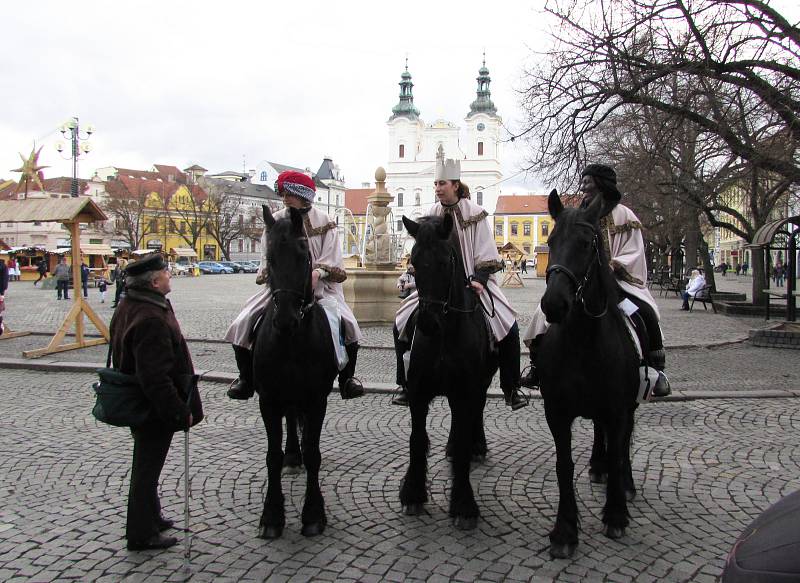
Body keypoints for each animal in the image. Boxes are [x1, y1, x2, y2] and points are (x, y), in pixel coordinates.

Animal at [252, 204, 336, 540]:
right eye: (270, 258)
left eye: (304, 256)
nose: (286, 320)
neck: (291, 342)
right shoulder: (268, 399)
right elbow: (271, 456)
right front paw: (272, 515)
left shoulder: (317, 399)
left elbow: (314, 453)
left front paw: (313, 513)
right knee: (290, 420)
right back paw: (291, 457)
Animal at [396, 213, 496, 528]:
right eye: (414, 262)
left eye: (444, 262)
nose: (428, 322)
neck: (444, 335)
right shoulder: (418, 393)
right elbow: (416, 440)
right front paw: (413, 492)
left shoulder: (465, 391)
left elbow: (464, 437)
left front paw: (464, 503)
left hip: (479, 385)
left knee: (476, 414)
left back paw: (477, 446)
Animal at [536, 189, 640, 560]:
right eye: (550, 240)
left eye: (586, 244)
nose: (554, 305)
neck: (582, 343)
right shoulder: (556, 412)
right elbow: (564, 465)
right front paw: (565, 530)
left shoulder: (618, 409)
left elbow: (619, 448)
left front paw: (616, 515)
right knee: (600, 434)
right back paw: (597, 466)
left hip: (629, 406)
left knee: (621, 444)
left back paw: (624, 484)